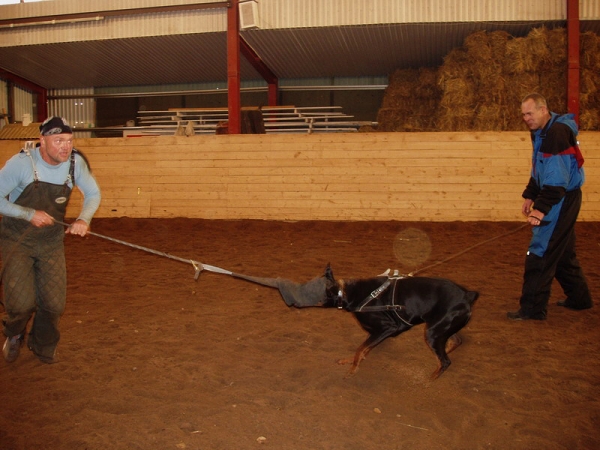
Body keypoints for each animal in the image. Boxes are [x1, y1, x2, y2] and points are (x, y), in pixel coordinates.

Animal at [324, 266, 478, 378]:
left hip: (433, 332)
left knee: (445, 361)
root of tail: (467, 296)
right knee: (455, 341)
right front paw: (350, 361)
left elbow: (361, 348)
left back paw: (429, 380)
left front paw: (352, 370)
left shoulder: (387, 328)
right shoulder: (375, 332)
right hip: (440, 326)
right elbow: (364, 349)